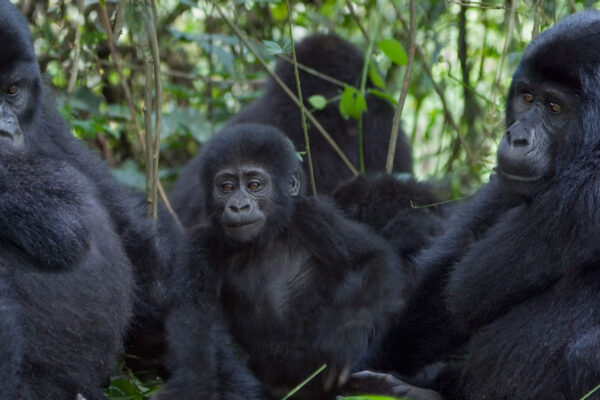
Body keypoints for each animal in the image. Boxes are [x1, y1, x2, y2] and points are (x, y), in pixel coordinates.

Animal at [370, 9, 600, 400]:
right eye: (527, 97)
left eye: (555, 107)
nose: (517, 137)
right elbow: (442, 278)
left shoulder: (588, 191)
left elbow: (467, 287)